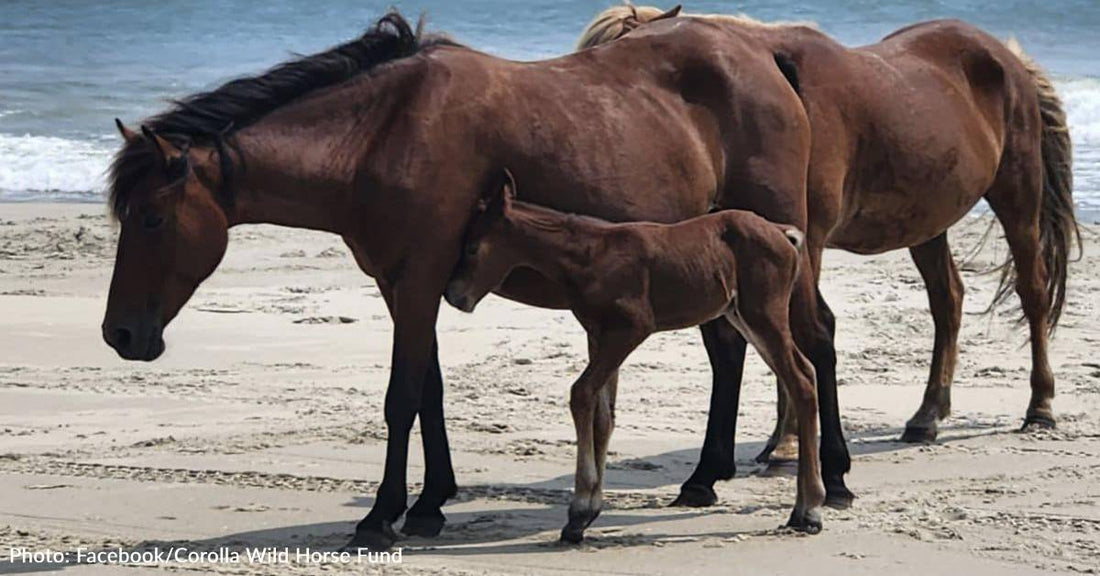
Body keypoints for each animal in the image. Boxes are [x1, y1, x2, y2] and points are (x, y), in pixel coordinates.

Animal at [442, 167, 822, 540]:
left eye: (472, 248)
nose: (454, 295)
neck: (590, 255)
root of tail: (783, 233)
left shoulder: (630, 329)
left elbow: (581, 393)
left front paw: (579, 511)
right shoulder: (598, 334)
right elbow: (602, 413)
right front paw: (587, 512)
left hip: (763, 315)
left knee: (801, 381)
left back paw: (808, 510)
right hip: (741, 316)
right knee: (806, 371)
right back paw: (804, 507)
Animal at [580, 2, 1078, 496]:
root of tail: (1007, 57)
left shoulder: (807, 241)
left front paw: (786, 444)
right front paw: (783, 442)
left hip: (1017, 194)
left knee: (1032, 293)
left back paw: (1040, 407)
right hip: (926, 224)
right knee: (947, 300)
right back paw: (927, 415)